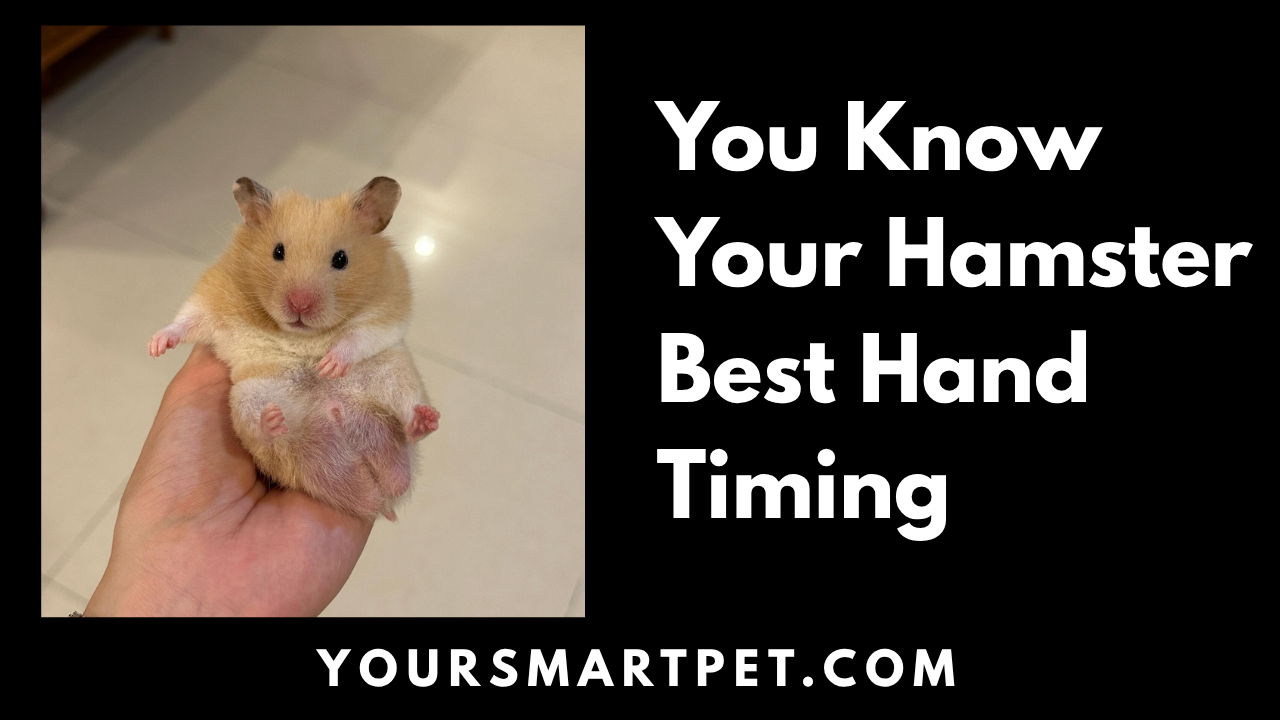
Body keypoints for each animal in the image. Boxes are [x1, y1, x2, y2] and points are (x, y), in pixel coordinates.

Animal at [148, 176, 440, 521]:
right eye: (278, 251)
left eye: (341, 259)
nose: (299, 305)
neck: (301, 334)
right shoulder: (214, 294)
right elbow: (188, 319)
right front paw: (155, 346)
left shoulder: (388, 304)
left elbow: (358, 335)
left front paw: (329, 365)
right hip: (248, 396)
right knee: (269, 435)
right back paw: (273, 420)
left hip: (394, 373)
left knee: (410, 420)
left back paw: (425, 419)